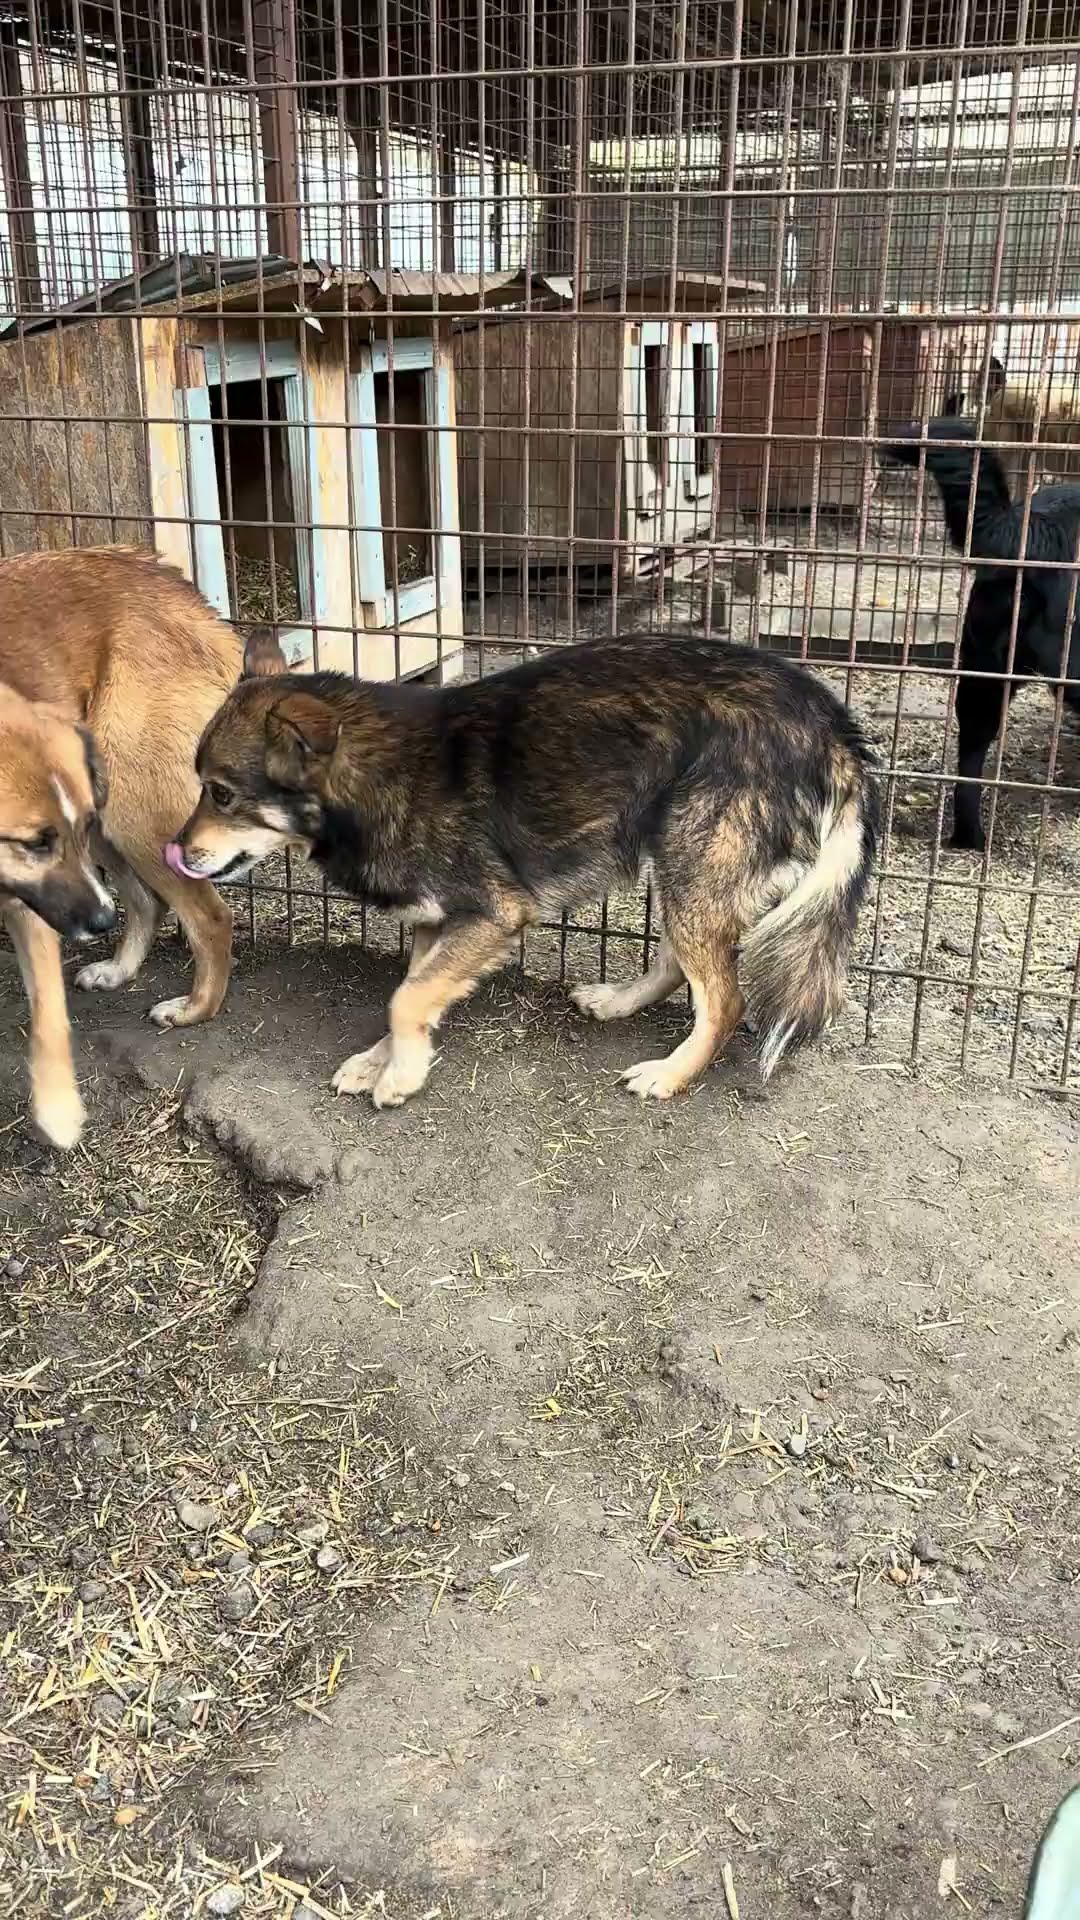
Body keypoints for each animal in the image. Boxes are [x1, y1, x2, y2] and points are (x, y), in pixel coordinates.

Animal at [0, 549, 284, 1144]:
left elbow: (45, 1011)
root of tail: (190, 599)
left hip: (132, 814)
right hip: (100, 818)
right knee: (143, 903)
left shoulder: (32, 889)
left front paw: (57, 1111)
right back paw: (119, 967)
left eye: (34, 842)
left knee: (209, 917)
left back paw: (195, 1009)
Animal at [168, 633, 876, 1113]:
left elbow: (405, 998)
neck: (381, 776)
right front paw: (382, 1060)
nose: (177, 851)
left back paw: (671, 1074)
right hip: (680, 863)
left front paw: (399, 1075)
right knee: (684, 964)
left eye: (221, 794)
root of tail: (825, 718)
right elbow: (410, 991)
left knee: (724, 998)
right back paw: (618, 1002)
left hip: (693, 860)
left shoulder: (495, 915)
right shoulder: (438, 922)